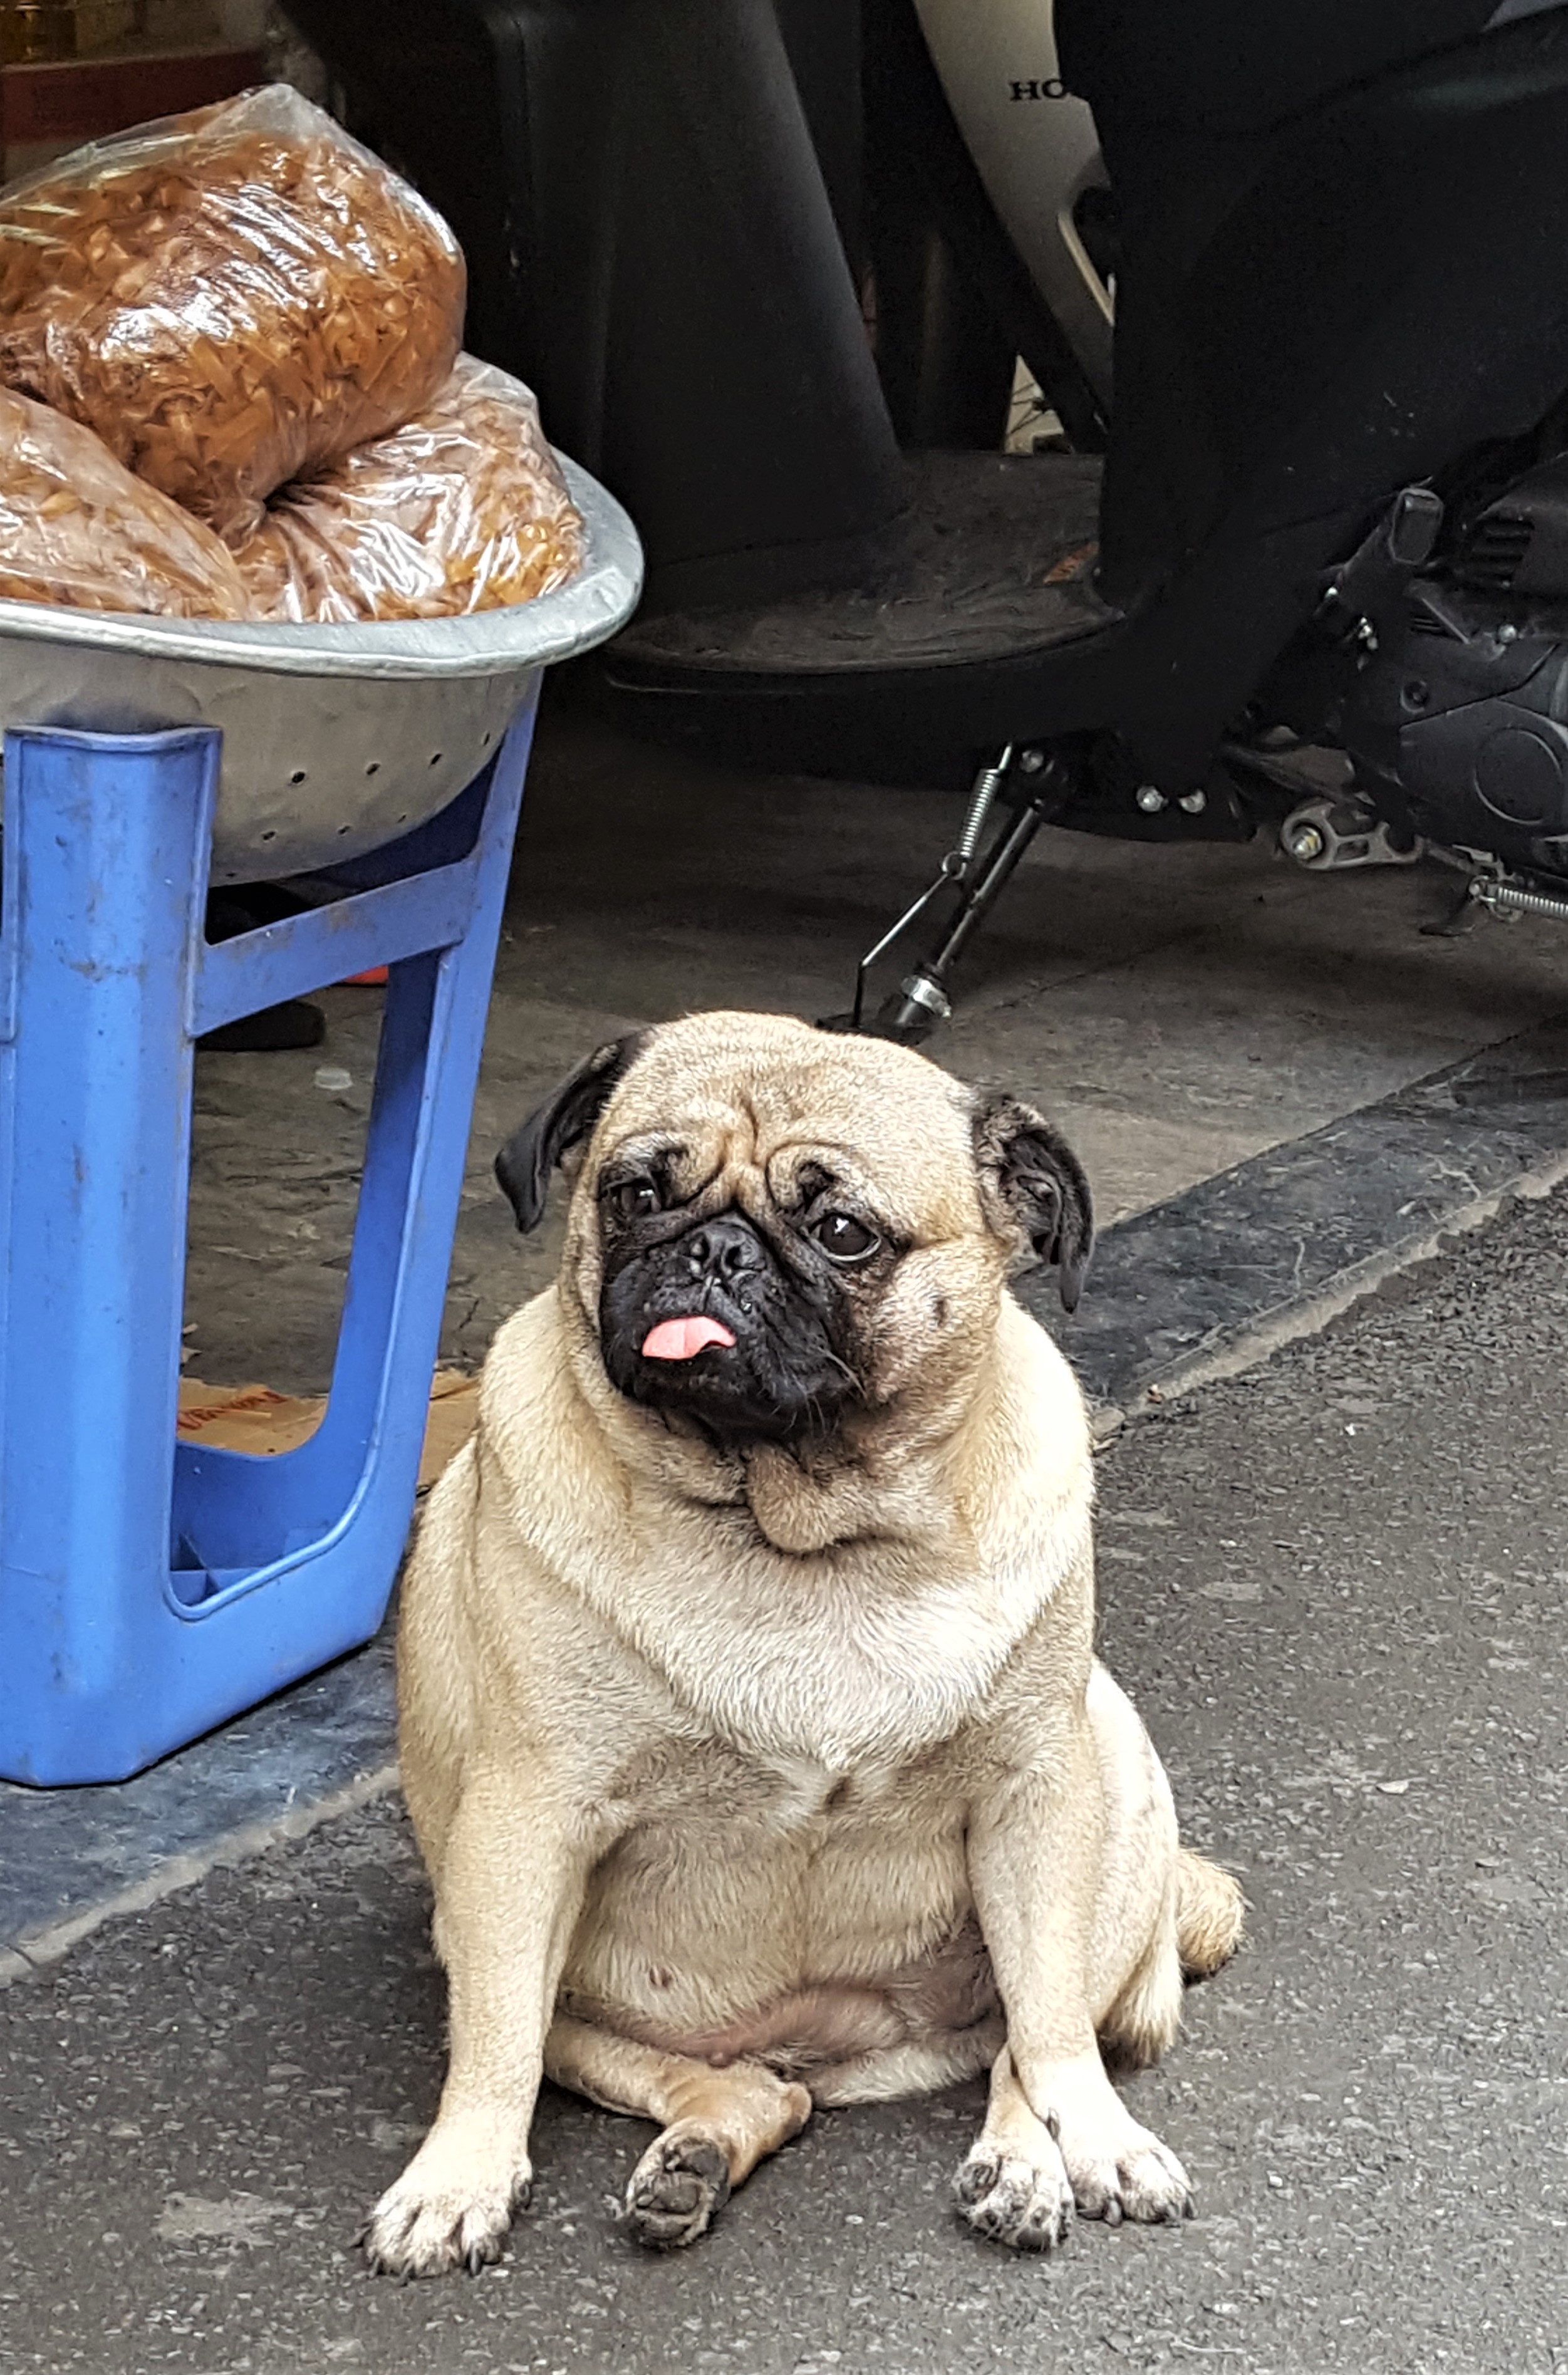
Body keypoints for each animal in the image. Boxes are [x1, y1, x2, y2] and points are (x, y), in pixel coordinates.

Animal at [364, 1009, 1242, 2277]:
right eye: (635, 1193)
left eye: (841, 1233)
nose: (714, 1249)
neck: (798, 1524)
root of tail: (826, 2043)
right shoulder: (522, 1823)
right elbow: (493, 2048)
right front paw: (458, 2178)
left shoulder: (1035, 1788)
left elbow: (1050, 2034)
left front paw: (1095, 2139)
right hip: (496, 1944)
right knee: (739, 2091)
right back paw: (694, 2156)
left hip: (1104, 1803)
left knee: (1025, 2043)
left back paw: (1024, 2167)